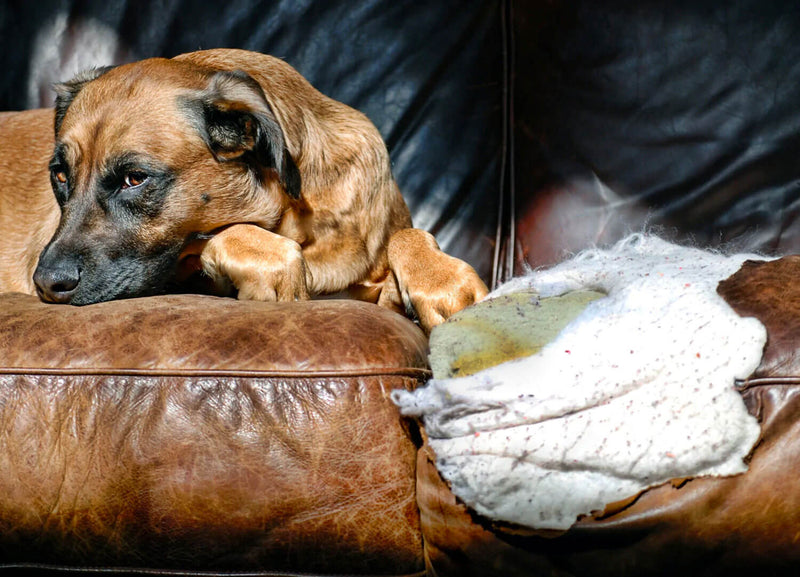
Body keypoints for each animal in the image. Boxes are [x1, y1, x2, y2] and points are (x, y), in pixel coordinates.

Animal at [1, 50, 488, 332]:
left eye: (134, 179)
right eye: (60, 176)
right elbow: (237, 238)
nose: (45, 284)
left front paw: (440, 281)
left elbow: (408, 235)